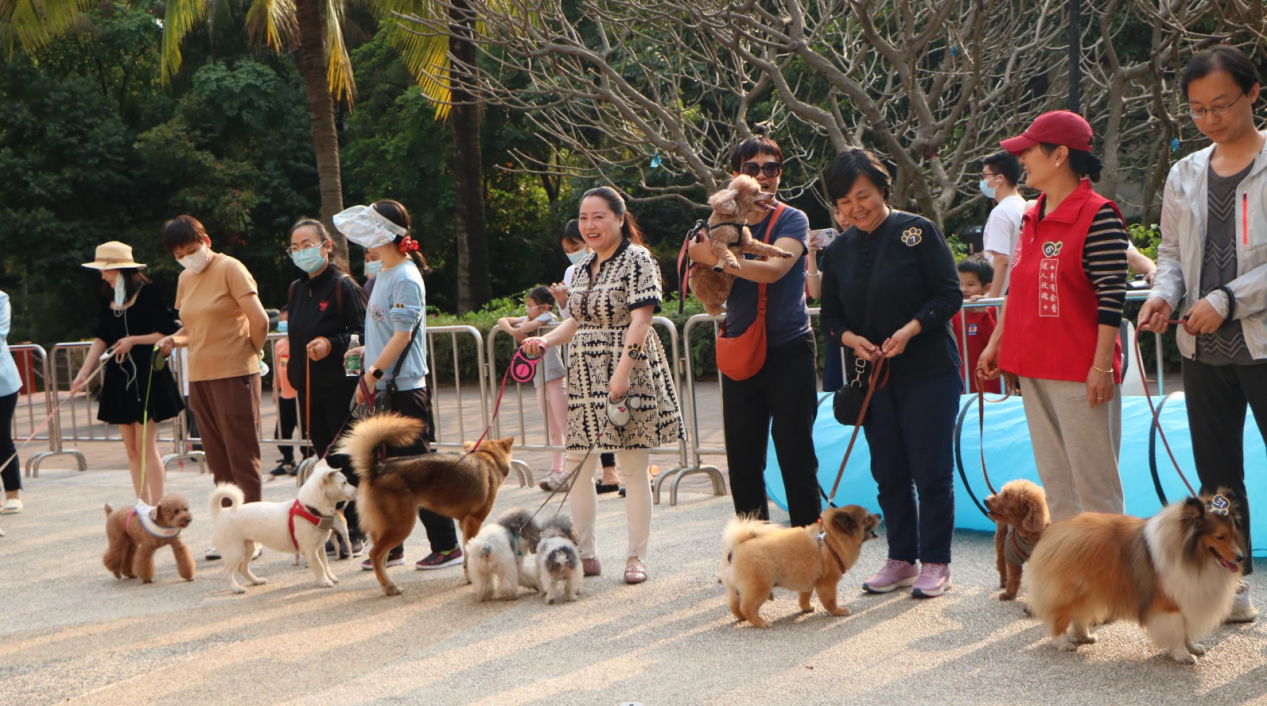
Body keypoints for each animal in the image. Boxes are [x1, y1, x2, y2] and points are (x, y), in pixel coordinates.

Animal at [209, 468, 357, 595]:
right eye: (344, 482)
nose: (357, 489)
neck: (310, 509)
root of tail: (221, 513)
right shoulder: (310, 551)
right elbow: (319, 566)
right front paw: (325, 582)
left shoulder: (320, 548)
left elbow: (325, 564)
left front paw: (330, 577)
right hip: (235, 552)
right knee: (227, 573)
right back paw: (236, 588)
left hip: (248, 549)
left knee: (242, 568)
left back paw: (256, 581)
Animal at [724, 504, 881, 626]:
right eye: (867, 518)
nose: (879, 514)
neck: (831, 540)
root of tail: (737, 547)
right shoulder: (827, 583)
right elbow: (830, 601)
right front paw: (838, 611)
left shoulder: (808, 581)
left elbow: (804, 598)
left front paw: (807, 608)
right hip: (759, 587)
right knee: (747, 607)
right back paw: (760, 623)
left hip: (736, 589)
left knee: (734, 606)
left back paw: (742, 617)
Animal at [1023, 489, 1241, 659]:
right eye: (1220, 537)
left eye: (1233, 533)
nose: (1240, 557)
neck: (1191, 555)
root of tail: (1054, 531)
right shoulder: (1170, 604)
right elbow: (1178, 632)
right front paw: (1183, 655)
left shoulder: (1184, 599)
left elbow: (1186, 631)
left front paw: (1194, 649)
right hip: (1071, 591)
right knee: (1060, 619)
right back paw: (1064, 644)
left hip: (1088, 592)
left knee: (1078, 616)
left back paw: (1085, 637)